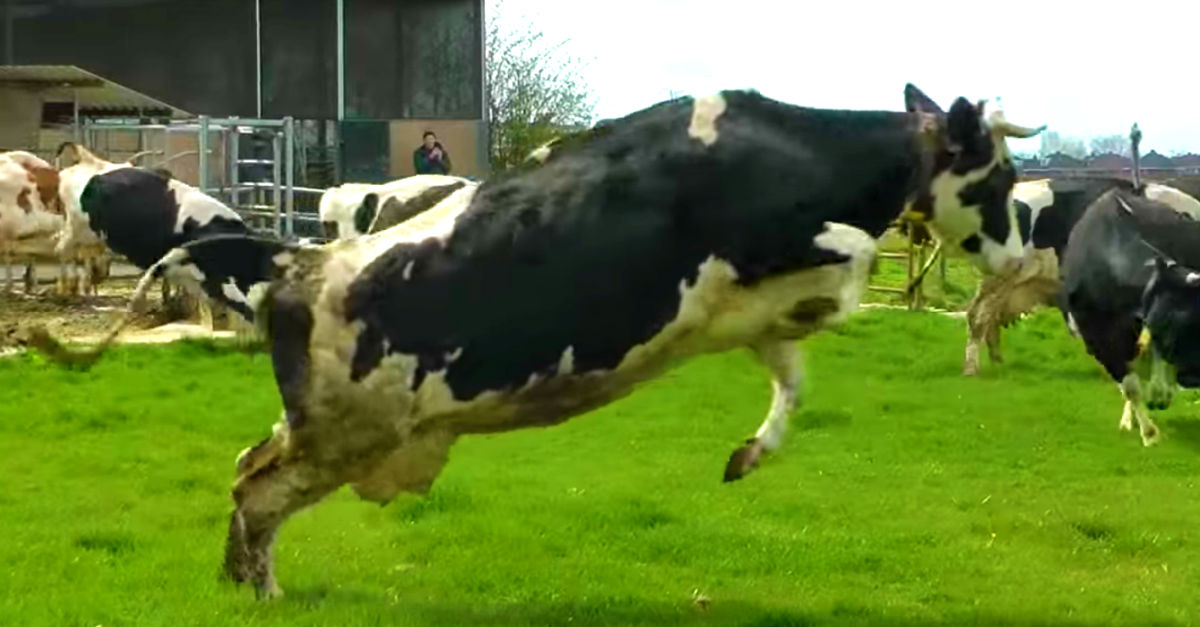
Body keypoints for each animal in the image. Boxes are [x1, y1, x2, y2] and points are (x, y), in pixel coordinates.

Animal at [24, 85, 1043, 597]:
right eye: (999, 174)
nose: (1016, 246)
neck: (786, 149)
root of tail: (299, 262)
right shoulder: (768, 248)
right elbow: (853, 259)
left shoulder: (760, 319)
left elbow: (792, 383)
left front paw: (748, 453)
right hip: (341, 433)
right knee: (255, 488)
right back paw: (258, 589)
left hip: (331, 427)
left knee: (246, 469)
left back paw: (243, 583)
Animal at [1058, 186, 1200, 446]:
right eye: (1169, 328)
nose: (1193, 377)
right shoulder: (1097, 338)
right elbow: (1129, 385)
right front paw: (1149, 433)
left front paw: (1160, 395)